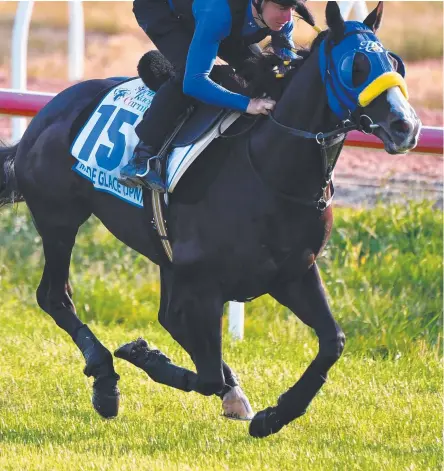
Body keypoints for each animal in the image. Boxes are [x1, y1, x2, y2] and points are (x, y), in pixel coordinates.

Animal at [0, 2, 420, 438]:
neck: (271, 170)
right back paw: (105, 379)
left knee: (166, 318)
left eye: (394, 63)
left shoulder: (293, 273)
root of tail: (47, 112)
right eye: (355, 66)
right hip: (59, 218)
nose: (405, 127)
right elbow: (206, 376)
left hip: (163, 253)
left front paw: (276, 414)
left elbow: (332, 341)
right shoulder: (204, 285)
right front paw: (141, 353)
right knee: (55, 296)